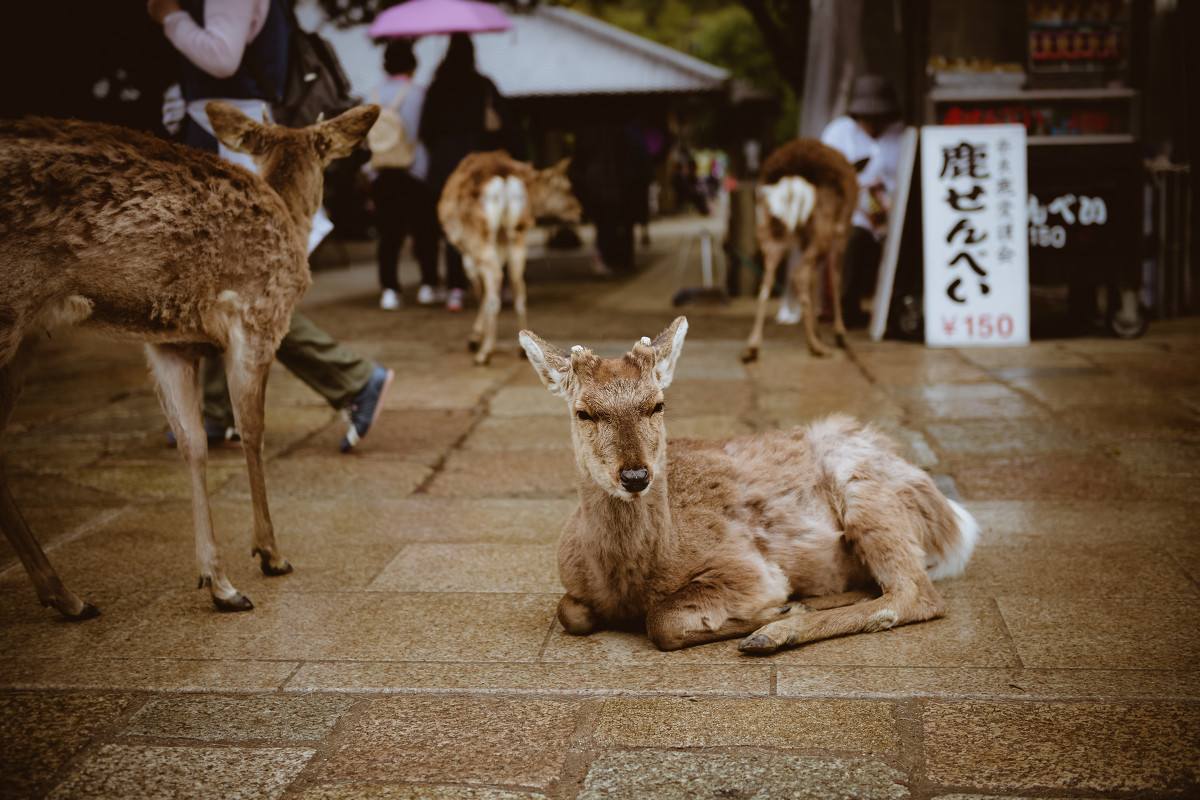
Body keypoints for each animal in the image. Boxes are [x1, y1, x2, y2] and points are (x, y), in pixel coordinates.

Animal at [0, 98, 379, 614]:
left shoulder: (167, 343)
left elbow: (193, 442)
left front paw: (217, 581)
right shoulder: (259, 315)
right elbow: (252, 432)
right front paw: (270, 554)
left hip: (25, 339)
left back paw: (63, 595)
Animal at [441, 149, 580, 367]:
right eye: (566, 188)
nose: (579, 210)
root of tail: (505, 180)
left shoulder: (467, 254)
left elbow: (481, 290)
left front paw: (475, 338)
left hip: (480, 238)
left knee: (496, 281)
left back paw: (484, 353)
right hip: (517, 234)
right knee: (518, 283)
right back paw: (521, 347)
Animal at [520, 316, 979, 652]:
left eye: (657, 405)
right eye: (583, 412)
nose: (636, 475)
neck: (629, 579)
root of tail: (953, 521)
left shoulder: (746, 566)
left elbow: (663, 621)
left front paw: (781, 611)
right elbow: (569, 612)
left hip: (868, 493)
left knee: (915, 594)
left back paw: (774, 633)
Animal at [739, 138, 864, 362]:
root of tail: (790, 180)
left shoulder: (806, 239)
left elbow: (815, 280)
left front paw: (820, 330)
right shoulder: (841, 229)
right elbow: (835, 275)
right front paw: (839, 334)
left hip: (769, 229)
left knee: (769, 278)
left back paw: (752, 347)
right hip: (822, 226)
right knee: (800, 273)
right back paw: (816, 346)